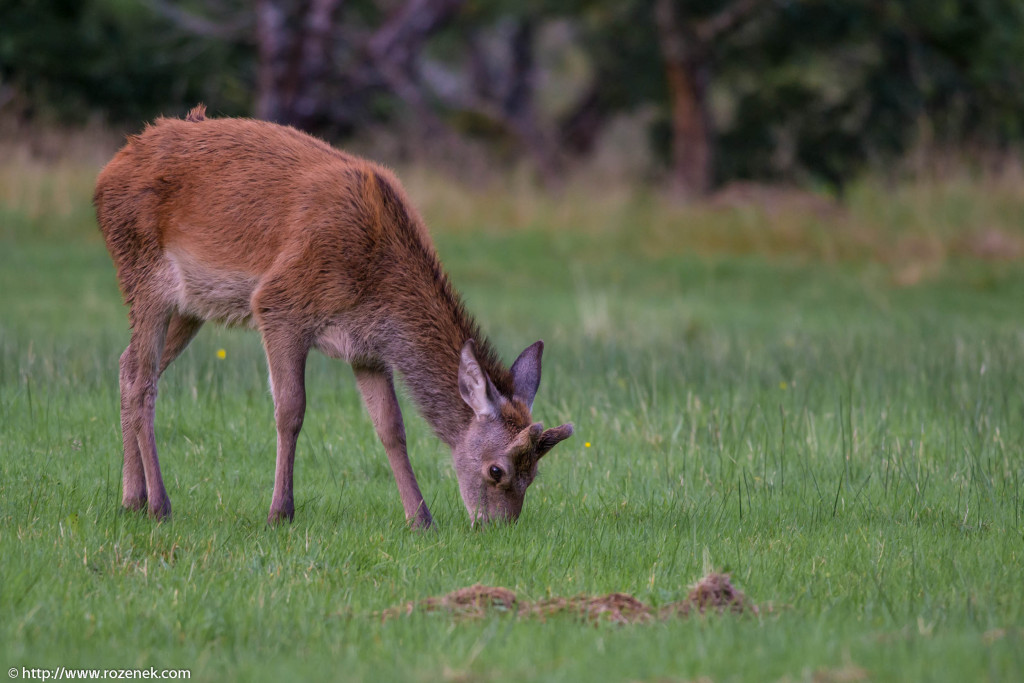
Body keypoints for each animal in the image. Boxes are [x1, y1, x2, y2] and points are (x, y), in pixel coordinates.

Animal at [93, 104, 577, 528]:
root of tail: (106, 173)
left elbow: (392, 429)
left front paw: (421, 519)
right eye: (497, 471)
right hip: (143, 272)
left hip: (191, 305)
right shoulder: (279, 303)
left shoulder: (366, 349)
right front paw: (280, 513)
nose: (498, 527)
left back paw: (131, 499)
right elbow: (290, 410)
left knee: (126, 364)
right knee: (143, 378)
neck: (374, 286)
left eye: (534, 474)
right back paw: (159, 504)